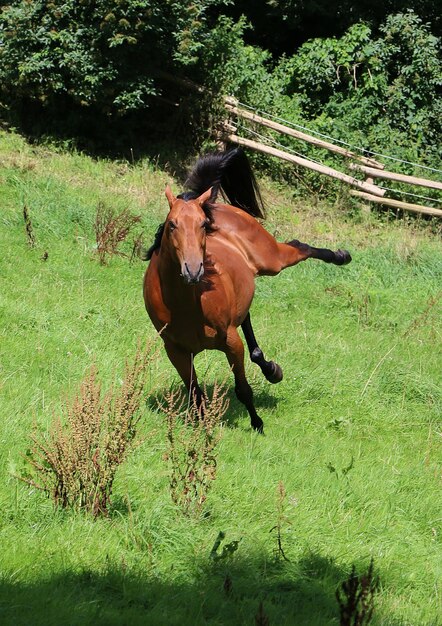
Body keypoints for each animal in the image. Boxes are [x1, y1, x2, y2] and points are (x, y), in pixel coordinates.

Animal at [143, 147, 350, 428]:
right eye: (172, 224)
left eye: (203, 225)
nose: (193, 270)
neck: (185, 305)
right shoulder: (176, 351)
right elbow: (196, 395)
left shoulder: (231, 342)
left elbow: (243, 389)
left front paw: (257, 424)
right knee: (248, 320)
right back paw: (271, 369)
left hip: (272, 259)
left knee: (299, 246)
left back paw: (342, 256)